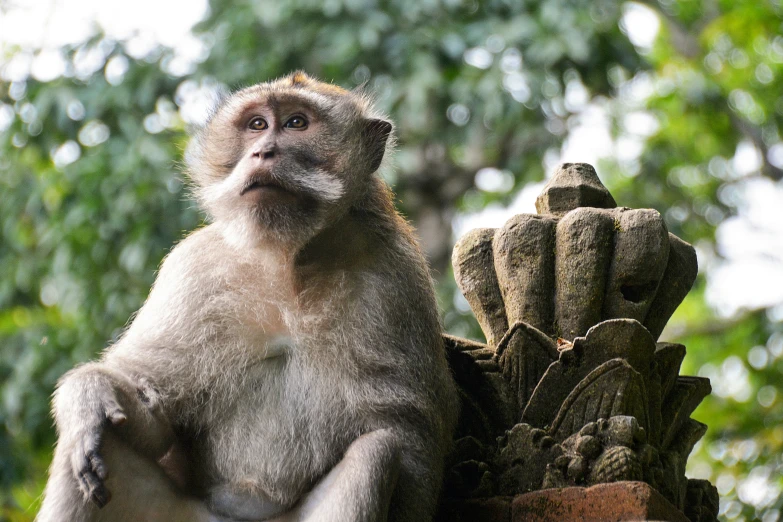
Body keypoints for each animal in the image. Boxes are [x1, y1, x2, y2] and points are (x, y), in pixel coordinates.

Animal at [39, 70, 460, 520]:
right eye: (257, 125)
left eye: (296, 123)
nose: (262, 152)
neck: (287, 262)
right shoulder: (193, 270)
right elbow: (153, 413)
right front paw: (90, 396)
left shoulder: (396, 278)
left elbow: (407, 438)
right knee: (101, 444)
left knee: (376, 452)